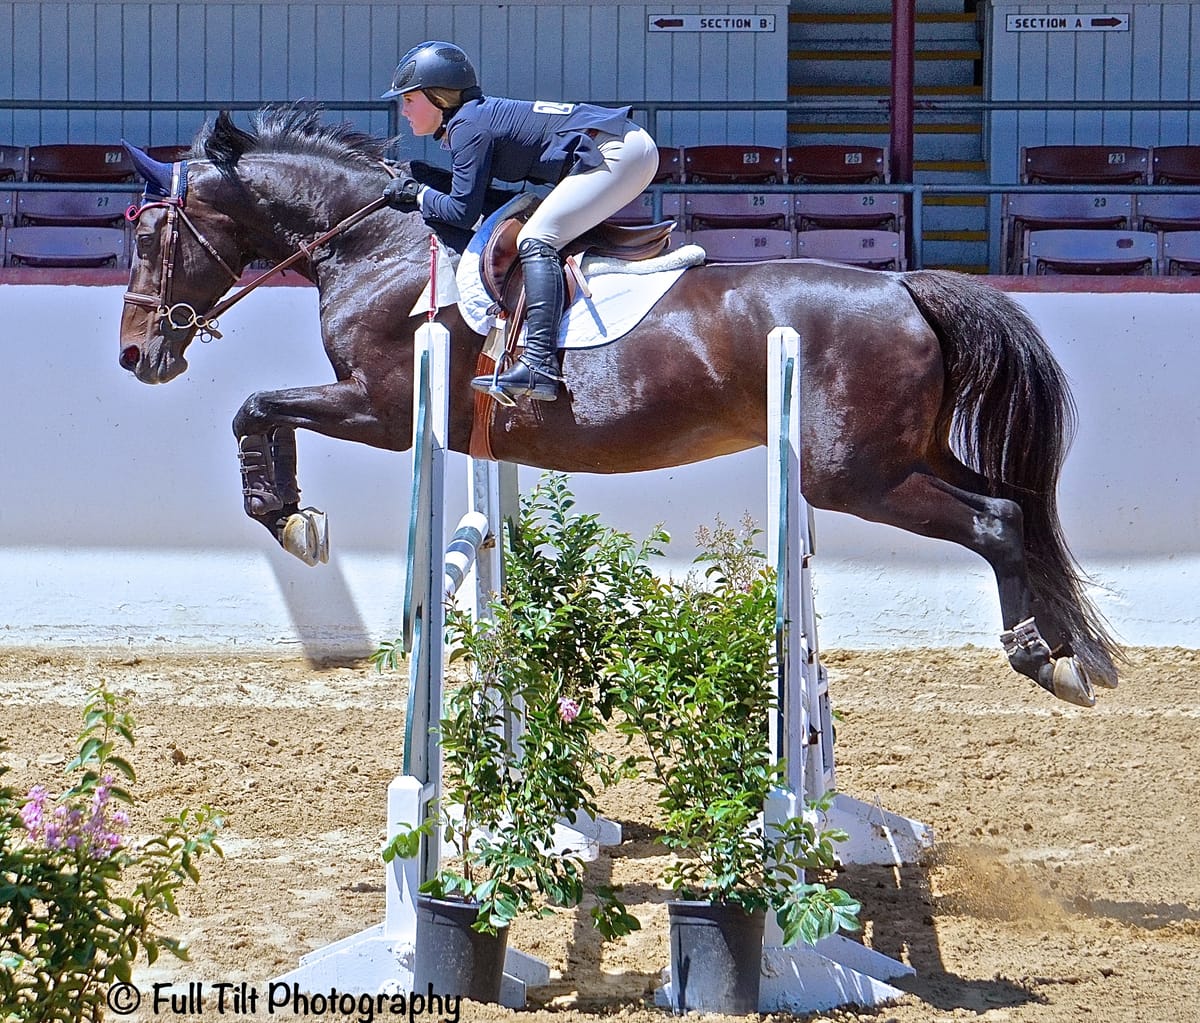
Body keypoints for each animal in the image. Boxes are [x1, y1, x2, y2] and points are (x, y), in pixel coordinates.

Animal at [117, 106, 1120, 708]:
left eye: (154, 234)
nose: (136, 355)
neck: (375, 245)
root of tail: (906, 286)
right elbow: (263, 409)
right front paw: (292, 514)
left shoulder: (382, 409)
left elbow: (256, 406)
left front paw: (284, 516)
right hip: (903, 456)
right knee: (1019, 508)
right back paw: (1075, 650)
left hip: (855, 477)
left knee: (996, 520)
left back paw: (1039, 657)